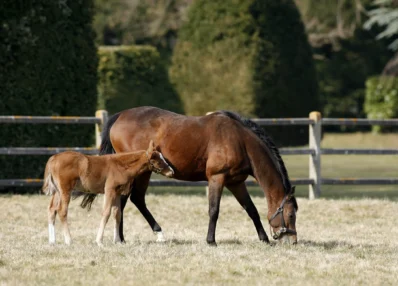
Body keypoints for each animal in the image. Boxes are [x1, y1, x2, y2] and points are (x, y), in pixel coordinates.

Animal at [42, 141, 174, 246]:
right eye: (158, 160)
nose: (171, 172)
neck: (121, 166)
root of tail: (53, 159)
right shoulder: (109, 190)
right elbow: (106, 213)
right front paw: (99, 241)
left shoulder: (117, 192)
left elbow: (117, 214)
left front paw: (117, 240)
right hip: (65, 189)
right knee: (62, 211)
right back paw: (69, 240)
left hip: (57, 191)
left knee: (51, 209)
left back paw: (52, 241)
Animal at [80, 106, 298, 245]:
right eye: (291, 214)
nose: (293, 241)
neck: (240, 140)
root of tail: (120, 116)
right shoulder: (217, 178)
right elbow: (214, 210)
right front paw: (211, 241)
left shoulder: (236, 183)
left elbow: (251, 209)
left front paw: (264, 238)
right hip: (140, 172)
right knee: (131, 200)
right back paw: (137, 235)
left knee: (131, 200)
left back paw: (129, 237)